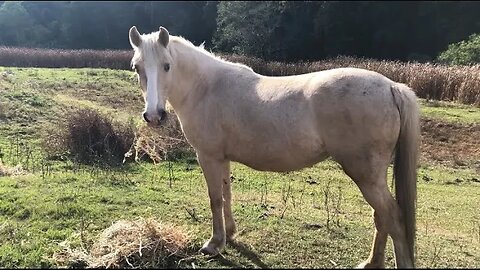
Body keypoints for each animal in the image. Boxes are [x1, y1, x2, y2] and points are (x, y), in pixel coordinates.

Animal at [128, 25, 420, 268]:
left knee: (392, 218)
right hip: (373, 178)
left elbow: (215, 199)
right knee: (381, 217)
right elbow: (227, 195)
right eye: (137, 67)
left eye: (167, 66)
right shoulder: (223, 158)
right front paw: (230, 234)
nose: (154, 116)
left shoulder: (208, 157)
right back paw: (371, 263)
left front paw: (214, 244)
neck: (206, 88)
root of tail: (391, 87)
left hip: (366, 175)